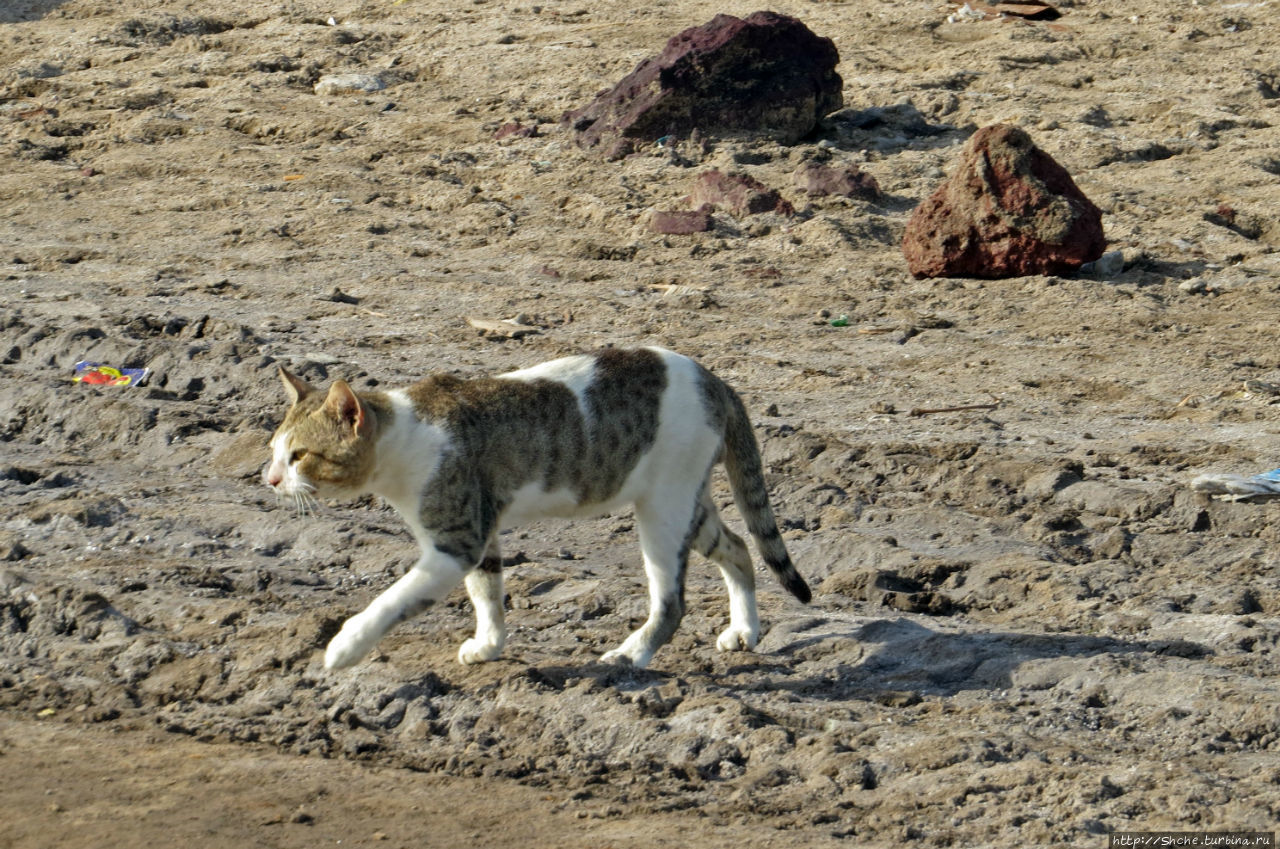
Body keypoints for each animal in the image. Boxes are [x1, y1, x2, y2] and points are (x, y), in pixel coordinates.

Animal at [262, 345, 808, 671]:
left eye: (300, 456)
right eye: (273, 451)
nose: (269, 479)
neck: (404, 438)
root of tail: (715, 380)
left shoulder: (455, 544)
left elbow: (391, 601)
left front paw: (343, 648)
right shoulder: (481, 533)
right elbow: (487, 593)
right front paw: (489, 646)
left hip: (664, 510)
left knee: (672, 603)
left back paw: (629, 655)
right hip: (685, 502)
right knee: (739, 549)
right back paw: (745, 631)